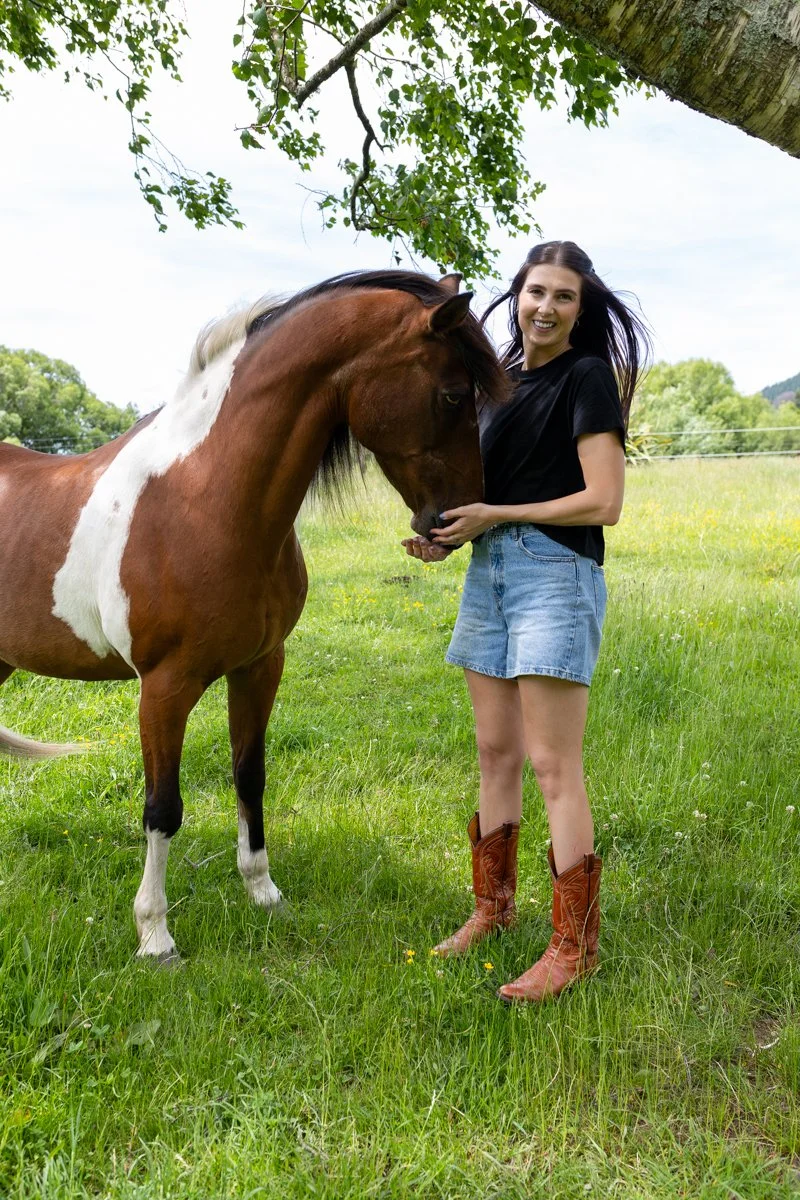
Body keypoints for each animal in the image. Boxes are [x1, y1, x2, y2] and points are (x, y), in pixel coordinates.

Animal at [0, 269, 508, 961]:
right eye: (454, 395)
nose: (455, 523)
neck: (202, 497)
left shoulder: (260, 668)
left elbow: (250, 777)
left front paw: (264, 894)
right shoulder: (164, 687)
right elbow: (162, 807)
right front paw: (155, 935)